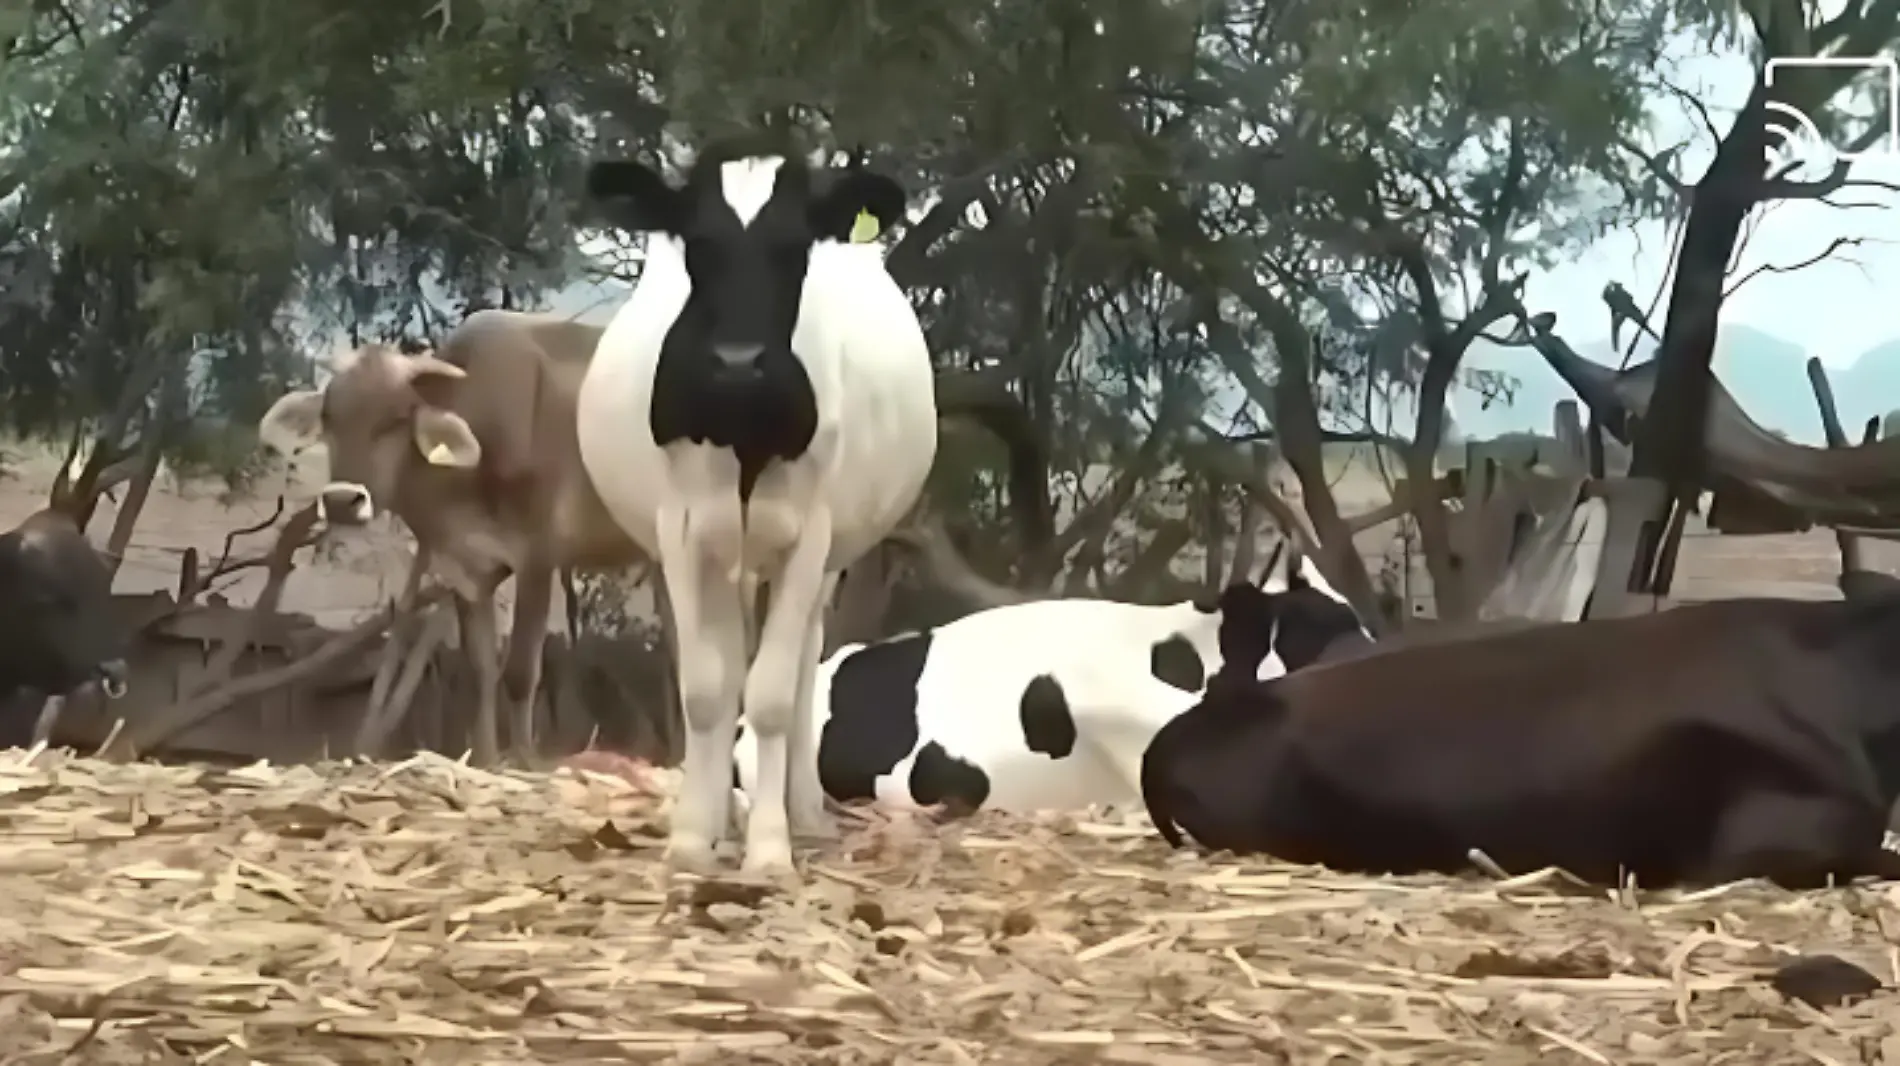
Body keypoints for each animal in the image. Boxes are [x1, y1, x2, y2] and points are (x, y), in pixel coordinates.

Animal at [260, 307, 646, 763]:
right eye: (329, 418)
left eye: (395, 421)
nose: (341, 501)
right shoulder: (467, 571)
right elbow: (481, 671)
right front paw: (487, 761)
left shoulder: (538, 559)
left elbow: (520, 674)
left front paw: (526, 764)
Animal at [577, 139, 934, 874]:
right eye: (697, 245)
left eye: (794, 249)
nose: (738, 361)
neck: (744, 428)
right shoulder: (682, 530)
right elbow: (706, 688)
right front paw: (692, 837)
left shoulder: (810, 537)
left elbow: (770, 697)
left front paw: (770, 848)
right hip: (726, 555)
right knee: (727, 653)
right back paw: (718, 813)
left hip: (822, 559)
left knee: (799, 669)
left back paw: (800, 813)